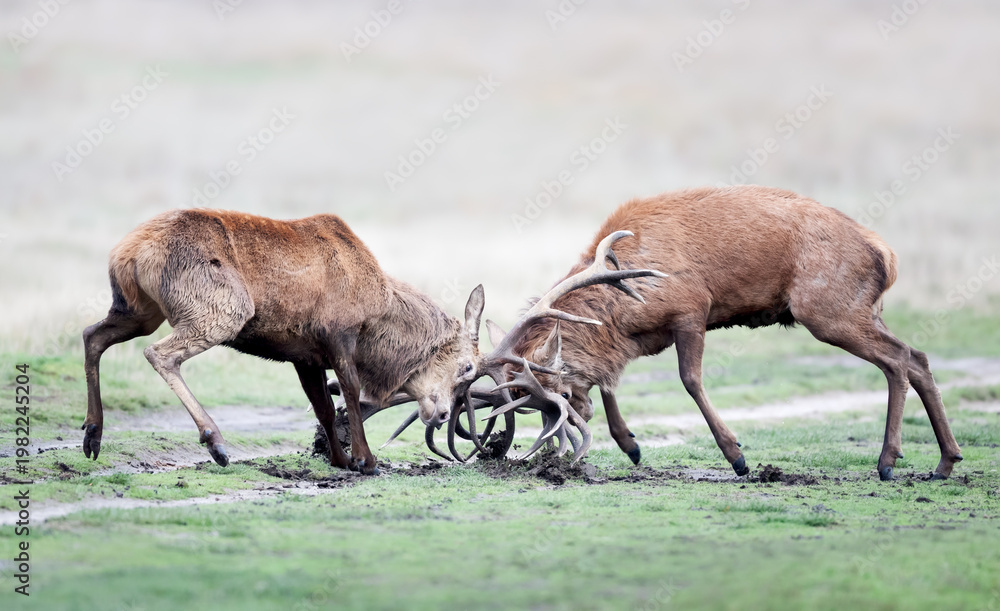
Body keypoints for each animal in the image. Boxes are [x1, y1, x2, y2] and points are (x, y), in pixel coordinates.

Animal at [82, 208, 488, 475]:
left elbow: (324, 408)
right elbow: (351, 391)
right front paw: (365, 460)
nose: (441, 414)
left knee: (92, 335)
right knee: (158, 353)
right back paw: (215, 442)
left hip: (138, 310)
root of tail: (128, 252)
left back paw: (93, 436)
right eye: (466, 366)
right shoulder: (337, 332)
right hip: (222, 307)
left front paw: (339, 459)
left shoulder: (305, 356)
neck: (377, 320)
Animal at [494, 185, 964, 481]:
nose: (578, 417)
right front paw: (630, 444)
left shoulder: (691, 308)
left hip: (830, 311)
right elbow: (610, 378)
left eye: (553, 392)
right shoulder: (640, 340)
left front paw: (737, 456)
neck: (624, 304)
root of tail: (886, 253)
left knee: (898, 360)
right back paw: (944, 462)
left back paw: (888, 462)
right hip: (864, 310)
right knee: (917, 357)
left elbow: (690, 379)